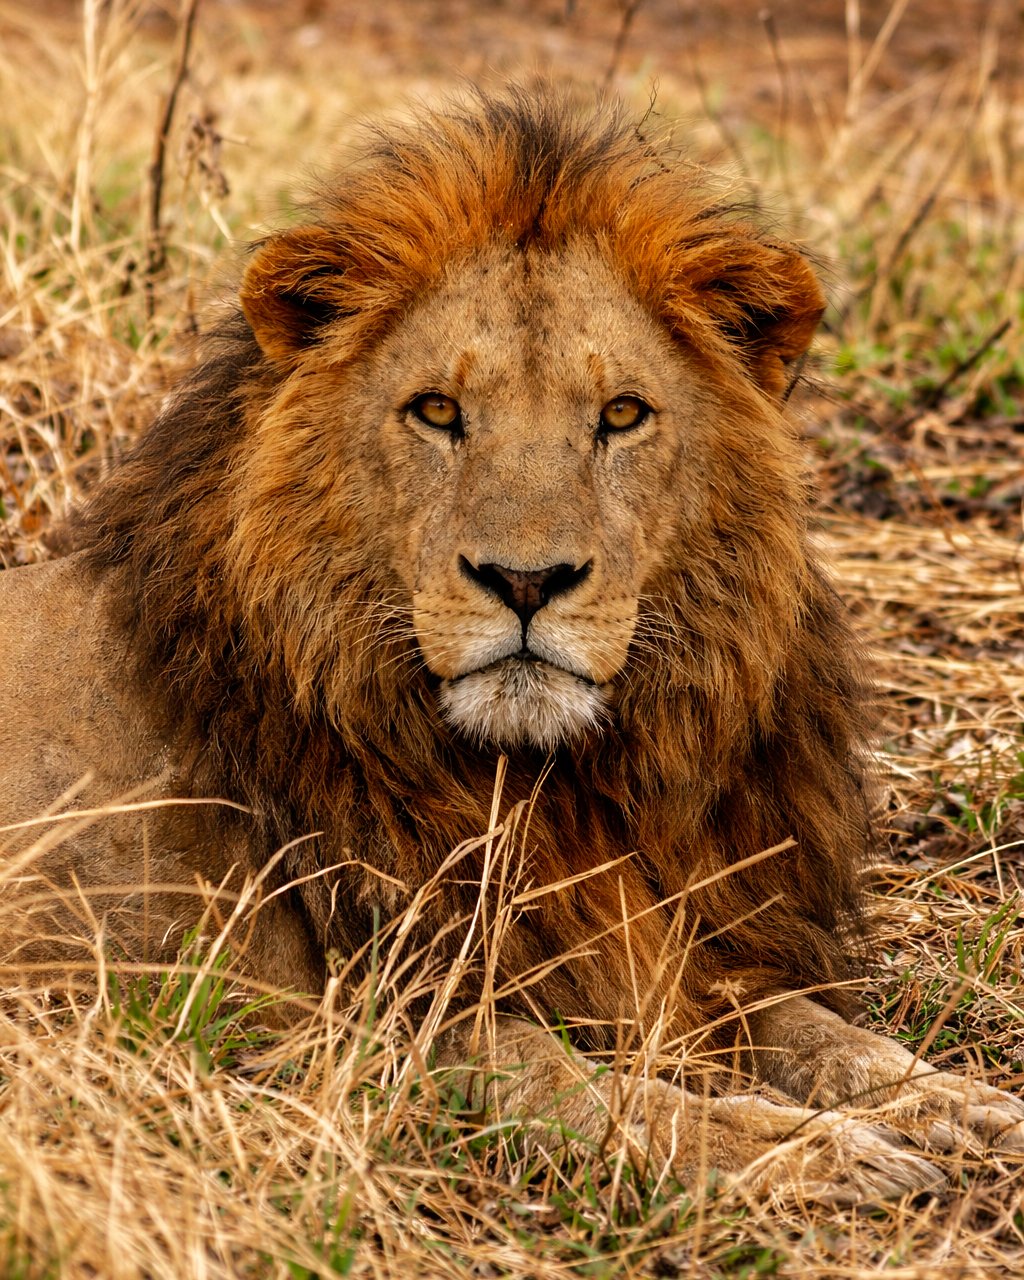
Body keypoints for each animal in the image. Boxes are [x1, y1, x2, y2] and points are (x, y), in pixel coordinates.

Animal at [1, 86, 1021, 1204]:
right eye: (438, 411)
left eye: (621, 413)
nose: (526, 582)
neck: (563, 786)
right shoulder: (353, 1020)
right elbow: (593, 1090)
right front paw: (809, 1148)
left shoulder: (666, 938)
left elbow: (816, 1028)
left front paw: (945, 1097)